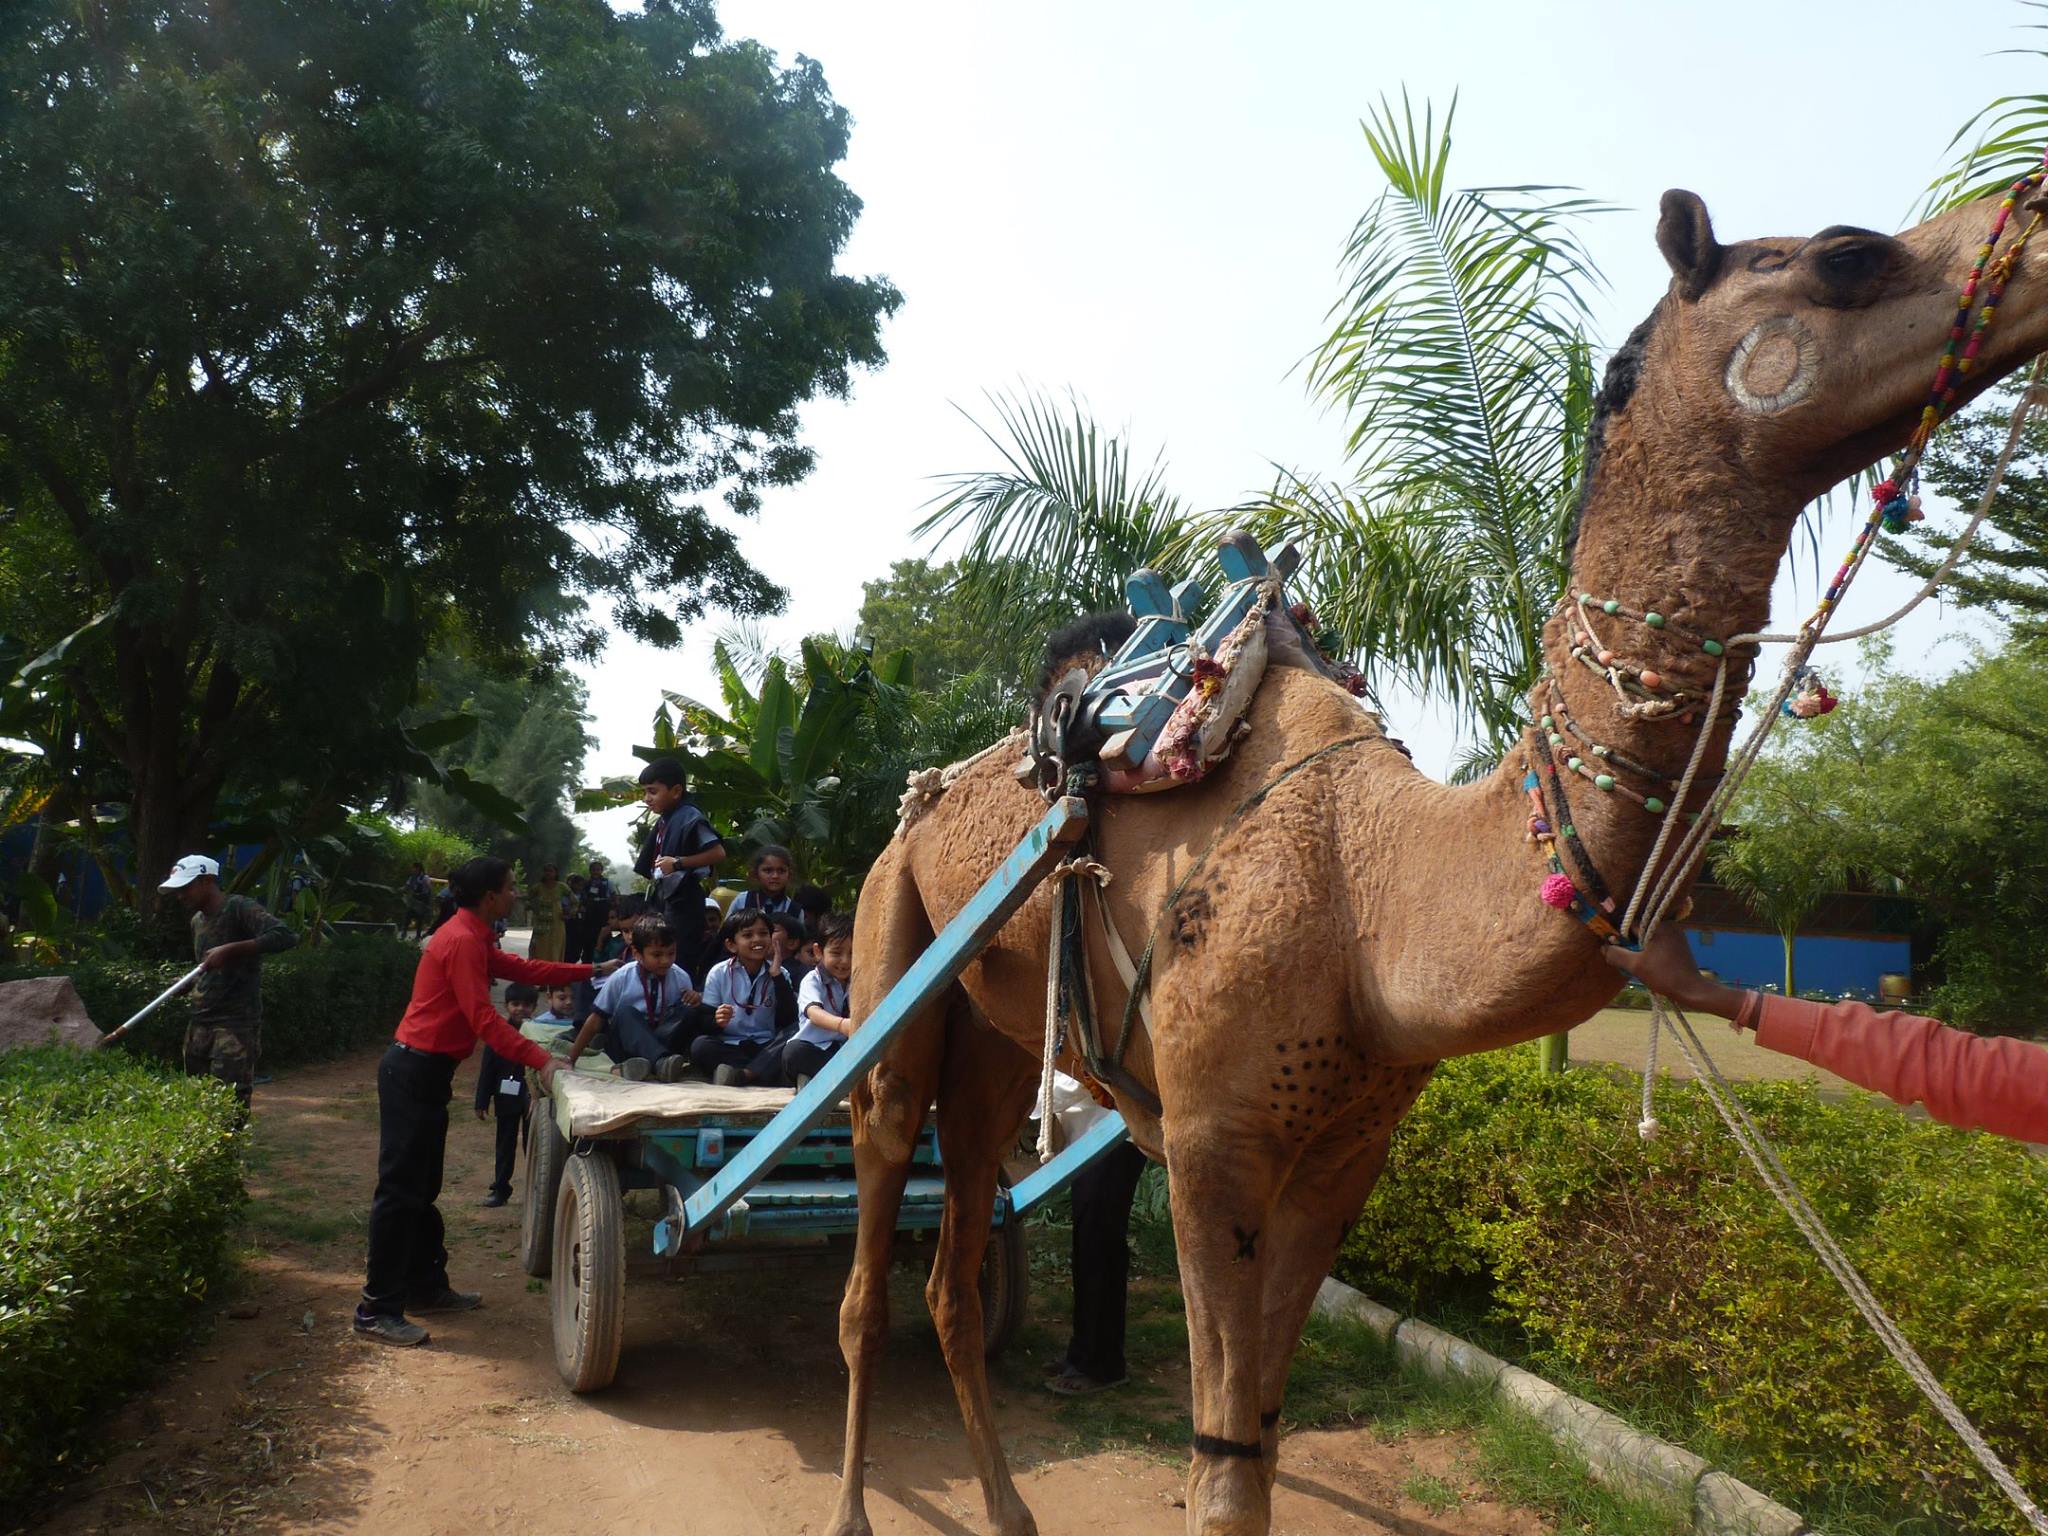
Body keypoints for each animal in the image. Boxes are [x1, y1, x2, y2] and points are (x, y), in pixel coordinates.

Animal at [827, 183, 2048, 1536]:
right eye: (1844, 256)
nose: (2030, 212)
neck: (1377, 890)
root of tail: (926, 801)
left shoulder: (1345, 1144)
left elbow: (1258, 1433)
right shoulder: (1208, 1136)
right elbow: (1218, 1469)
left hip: (997, 1037)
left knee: (953, 1258)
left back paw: (1007, 1508)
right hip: (891, 937)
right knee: (869, 1225)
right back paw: (852, 1507)